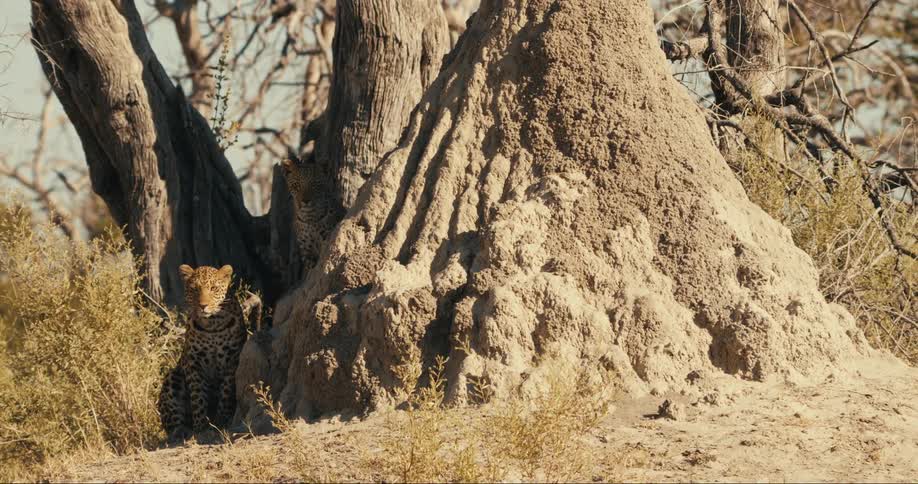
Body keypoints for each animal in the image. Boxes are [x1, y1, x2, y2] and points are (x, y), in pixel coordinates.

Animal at [157, 264, 257, 441]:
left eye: (213, 288)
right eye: (194, 289)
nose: (203, 306)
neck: (212, 325)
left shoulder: (232, 361)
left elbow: (226, 392)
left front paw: (221, 421)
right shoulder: (193, 363)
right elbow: (197, 396)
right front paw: (201, 426)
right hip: (173, 375)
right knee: (172, 422)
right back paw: (181, 431)